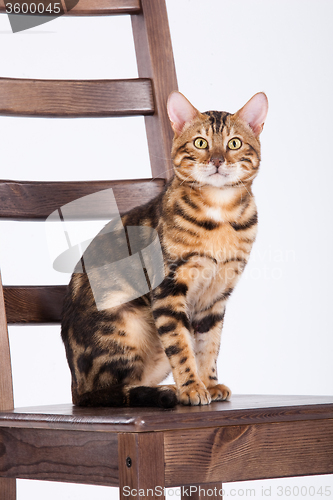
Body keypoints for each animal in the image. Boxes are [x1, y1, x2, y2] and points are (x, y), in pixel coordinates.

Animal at [60, 92, 268, 408]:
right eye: (200, 143)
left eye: (234, 143)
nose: (217, 160)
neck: (221, 215)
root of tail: (74, 386)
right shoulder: (169, 289)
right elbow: (181, 346)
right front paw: (192, 388)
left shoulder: (216, 296)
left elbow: (209, 345)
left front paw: (210, 383)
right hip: (127, 322)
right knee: (108, 391)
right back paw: (167, 391)